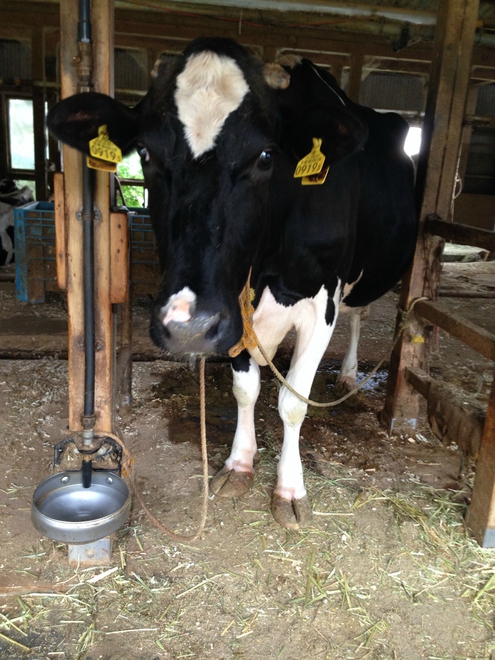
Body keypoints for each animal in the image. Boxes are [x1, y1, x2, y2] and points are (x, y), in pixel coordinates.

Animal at [46, 37, 418, 532]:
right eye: (145, 152)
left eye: (265, 156)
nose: (188, 327)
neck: (262, 265)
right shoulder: (234, 312)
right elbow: (247, 389)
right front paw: (239, 463)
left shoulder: (321, 303)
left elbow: (293, 401)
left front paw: (289, 489)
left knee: (359, 315)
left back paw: (349, 373)